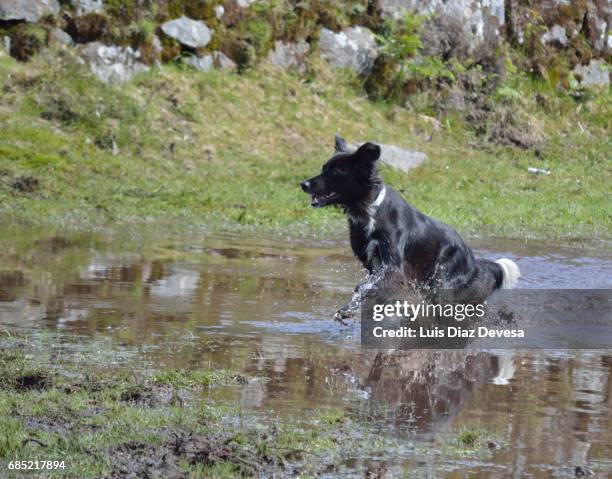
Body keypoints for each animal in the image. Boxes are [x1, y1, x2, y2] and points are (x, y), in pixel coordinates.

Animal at [298, 137, 520, 320]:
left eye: (335, 172)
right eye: (323, 168)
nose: (303, 184)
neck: (370, 212)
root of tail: (473, 260)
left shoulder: (392, 265)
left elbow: (366, 286)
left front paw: (348, 309)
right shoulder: (371, 264)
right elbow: (369, 286)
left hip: (443, 283)